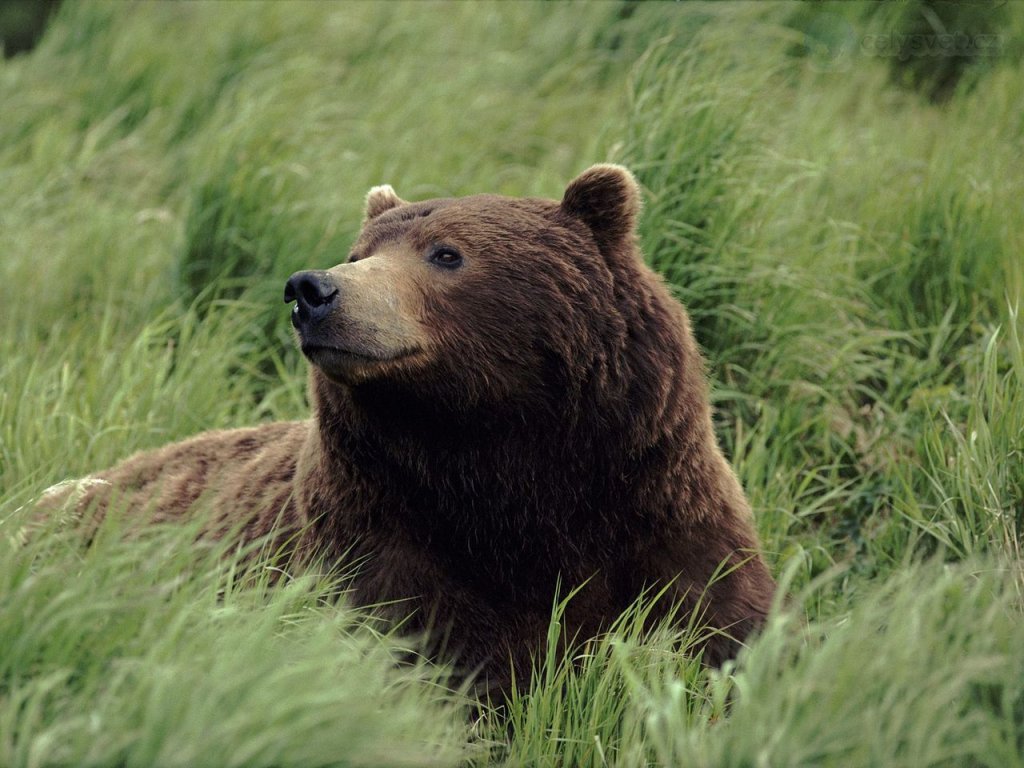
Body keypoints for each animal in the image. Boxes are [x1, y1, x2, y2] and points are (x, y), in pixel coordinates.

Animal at [34, 165, 776, 697]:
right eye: (359, 250)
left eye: (446, 253)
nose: (312, 290)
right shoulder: (383, 540)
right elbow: (428, 657)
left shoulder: (658, 512)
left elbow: (712, 631)